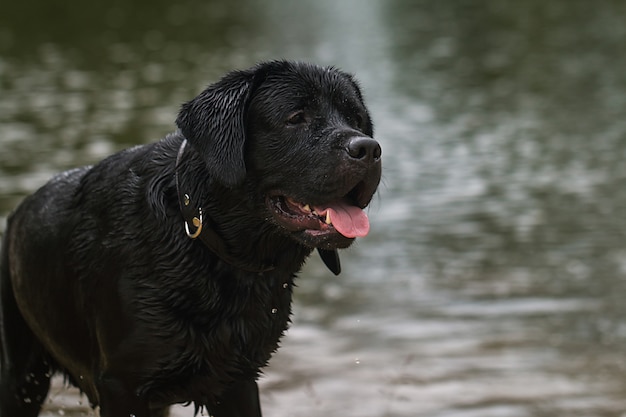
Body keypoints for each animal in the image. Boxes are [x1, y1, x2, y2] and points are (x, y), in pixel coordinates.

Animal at [0, 60, 380, 414]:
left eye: (357, 118)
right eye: (296, 117)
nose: (369, 149)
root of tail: (16, 214)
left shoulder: (237, 381)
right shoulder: (121, 385)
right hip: (21, 376)